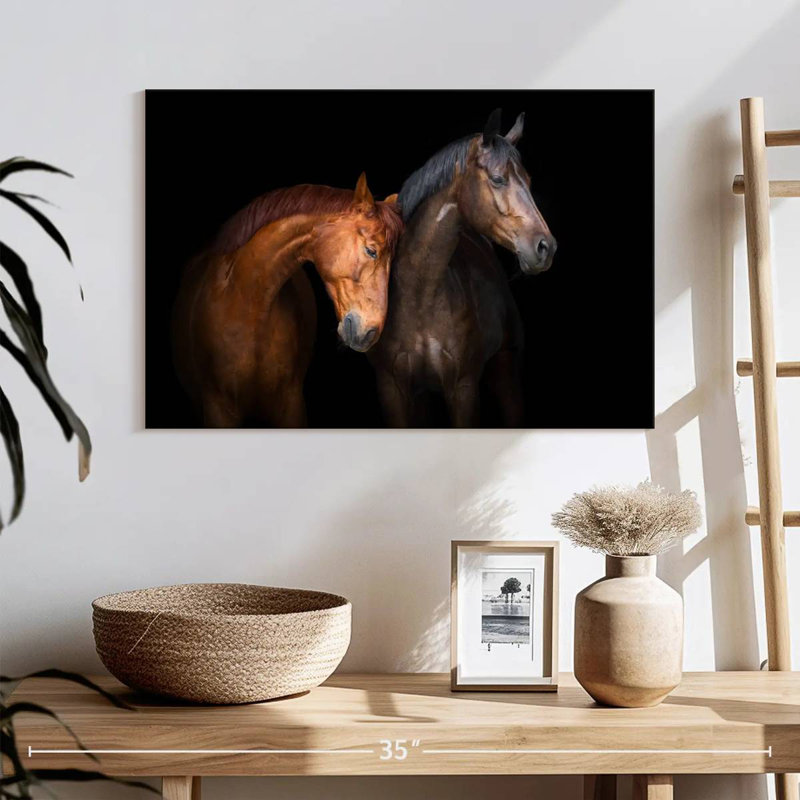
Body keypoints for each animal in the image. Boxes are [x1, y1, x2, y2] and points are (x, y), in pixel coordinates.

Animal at [369, 109, 556, 428]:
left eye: (529, 182)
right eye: (498, 179)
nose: (546, 247)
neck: (420, 294)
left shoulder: (463, 389)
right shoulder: (392, 389)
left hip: (506, 374)